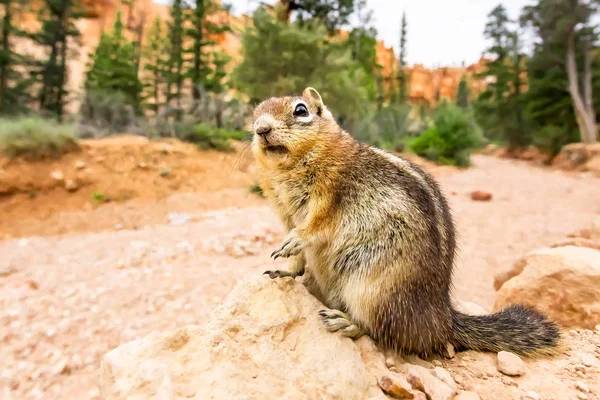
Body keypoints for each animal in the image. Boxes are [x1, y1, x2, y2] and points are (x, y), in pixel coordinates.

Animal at [251, 86, 560, 356]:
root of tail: (441, 320)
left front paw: (294, 242)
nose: (261, 130)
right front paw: (284, 271)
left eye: (301, 110)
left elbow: (314, 227)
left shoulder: (330, 193)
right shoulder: (285, 213)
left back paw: (346, 321)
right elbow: (297, 256)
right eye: (254, 115)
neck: (289, 169)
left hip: (373, 290)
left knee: (381, 330)